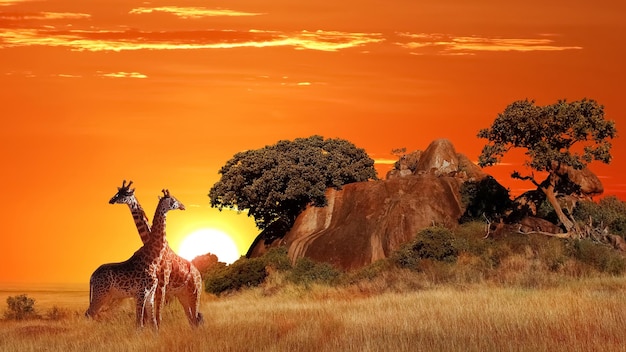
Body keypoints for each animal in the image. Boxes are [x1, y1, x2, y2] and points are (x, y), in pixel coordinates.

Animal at [84, 188, 184, 328]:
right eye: (173, 199)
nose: (183, 206)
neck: (153, 258)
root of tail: (92, 276)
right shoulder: (142, 293)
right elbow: (140, 324)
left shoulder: (150, 294)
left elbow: (153, 323)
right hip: (101, 294)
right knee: (89, 313)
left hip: (106, 295)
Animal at [108, 182, 202, 328]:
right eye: (118, 193)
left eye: (126, 193)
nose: (111, 200)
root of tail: (199, 275)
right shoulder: (150, 287)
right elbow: (148, 316)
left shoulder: (161, 285)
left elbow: (157, 316)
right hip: (182, 295)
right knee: (192, 319)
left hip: (194, 293)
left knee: (196, 318)